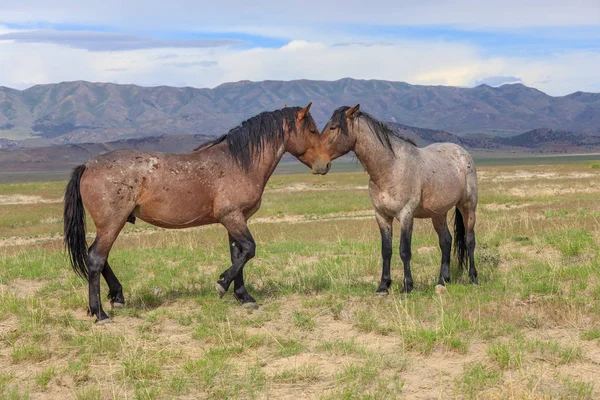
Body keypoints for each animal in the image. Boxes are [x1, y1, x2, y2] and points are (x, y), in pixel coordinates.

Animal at [63, 103, 330, 322]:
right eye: (313, 130)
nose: (325, 165)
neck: (239, 163)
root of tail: (87, 165)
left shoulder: (235, 220)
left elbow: (238, 254)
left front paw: (243, 297)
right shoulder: (232, 218)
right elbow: (249, 250)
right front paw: (222, 284)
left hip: (110, 224)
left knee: (99, 257)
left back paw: (116, 297)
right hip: (112, 223)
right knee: (96, 258)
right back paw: (100, 313)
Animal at [318, 106, 478, 294]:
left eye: (333, 127)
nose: (320, 164)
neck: (390, 167)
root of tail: (462, 152)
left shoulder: (405, 215)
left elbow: (404, 250)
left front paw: (407, 286)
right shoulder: (382, 216)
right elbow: (386, 250)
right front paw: (383, 285)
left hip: (468, 207)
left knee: (469, 240)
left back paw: (473, 277)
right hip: (438, 213)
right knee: (445, 241)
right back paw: (442, 280)